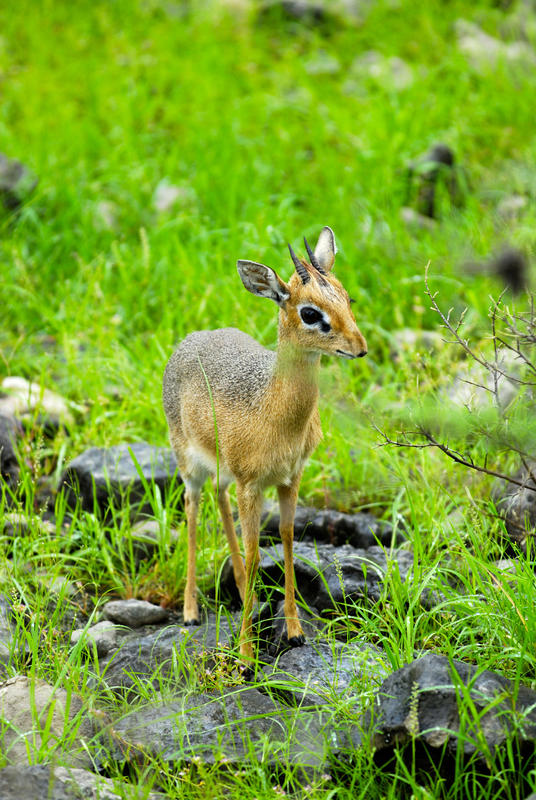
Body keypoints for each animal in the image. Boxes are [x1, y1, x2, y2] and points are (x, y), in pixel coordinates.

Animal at [161, 227, 366, 664]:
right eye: (310, 312)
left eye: (346, 297)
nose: (359, 347)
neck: (275, 412)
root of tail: (191, 339)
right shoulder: (252, 485)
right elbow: (256, 552)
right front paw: (245, 653)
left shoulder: (289, 479)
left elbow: (287, 540)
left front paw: (294, 631)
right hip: (190, 467)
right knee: (193, 509)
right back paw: (190, 611)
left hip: (225, 474)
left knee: (219, 500)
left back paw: (243, 594)